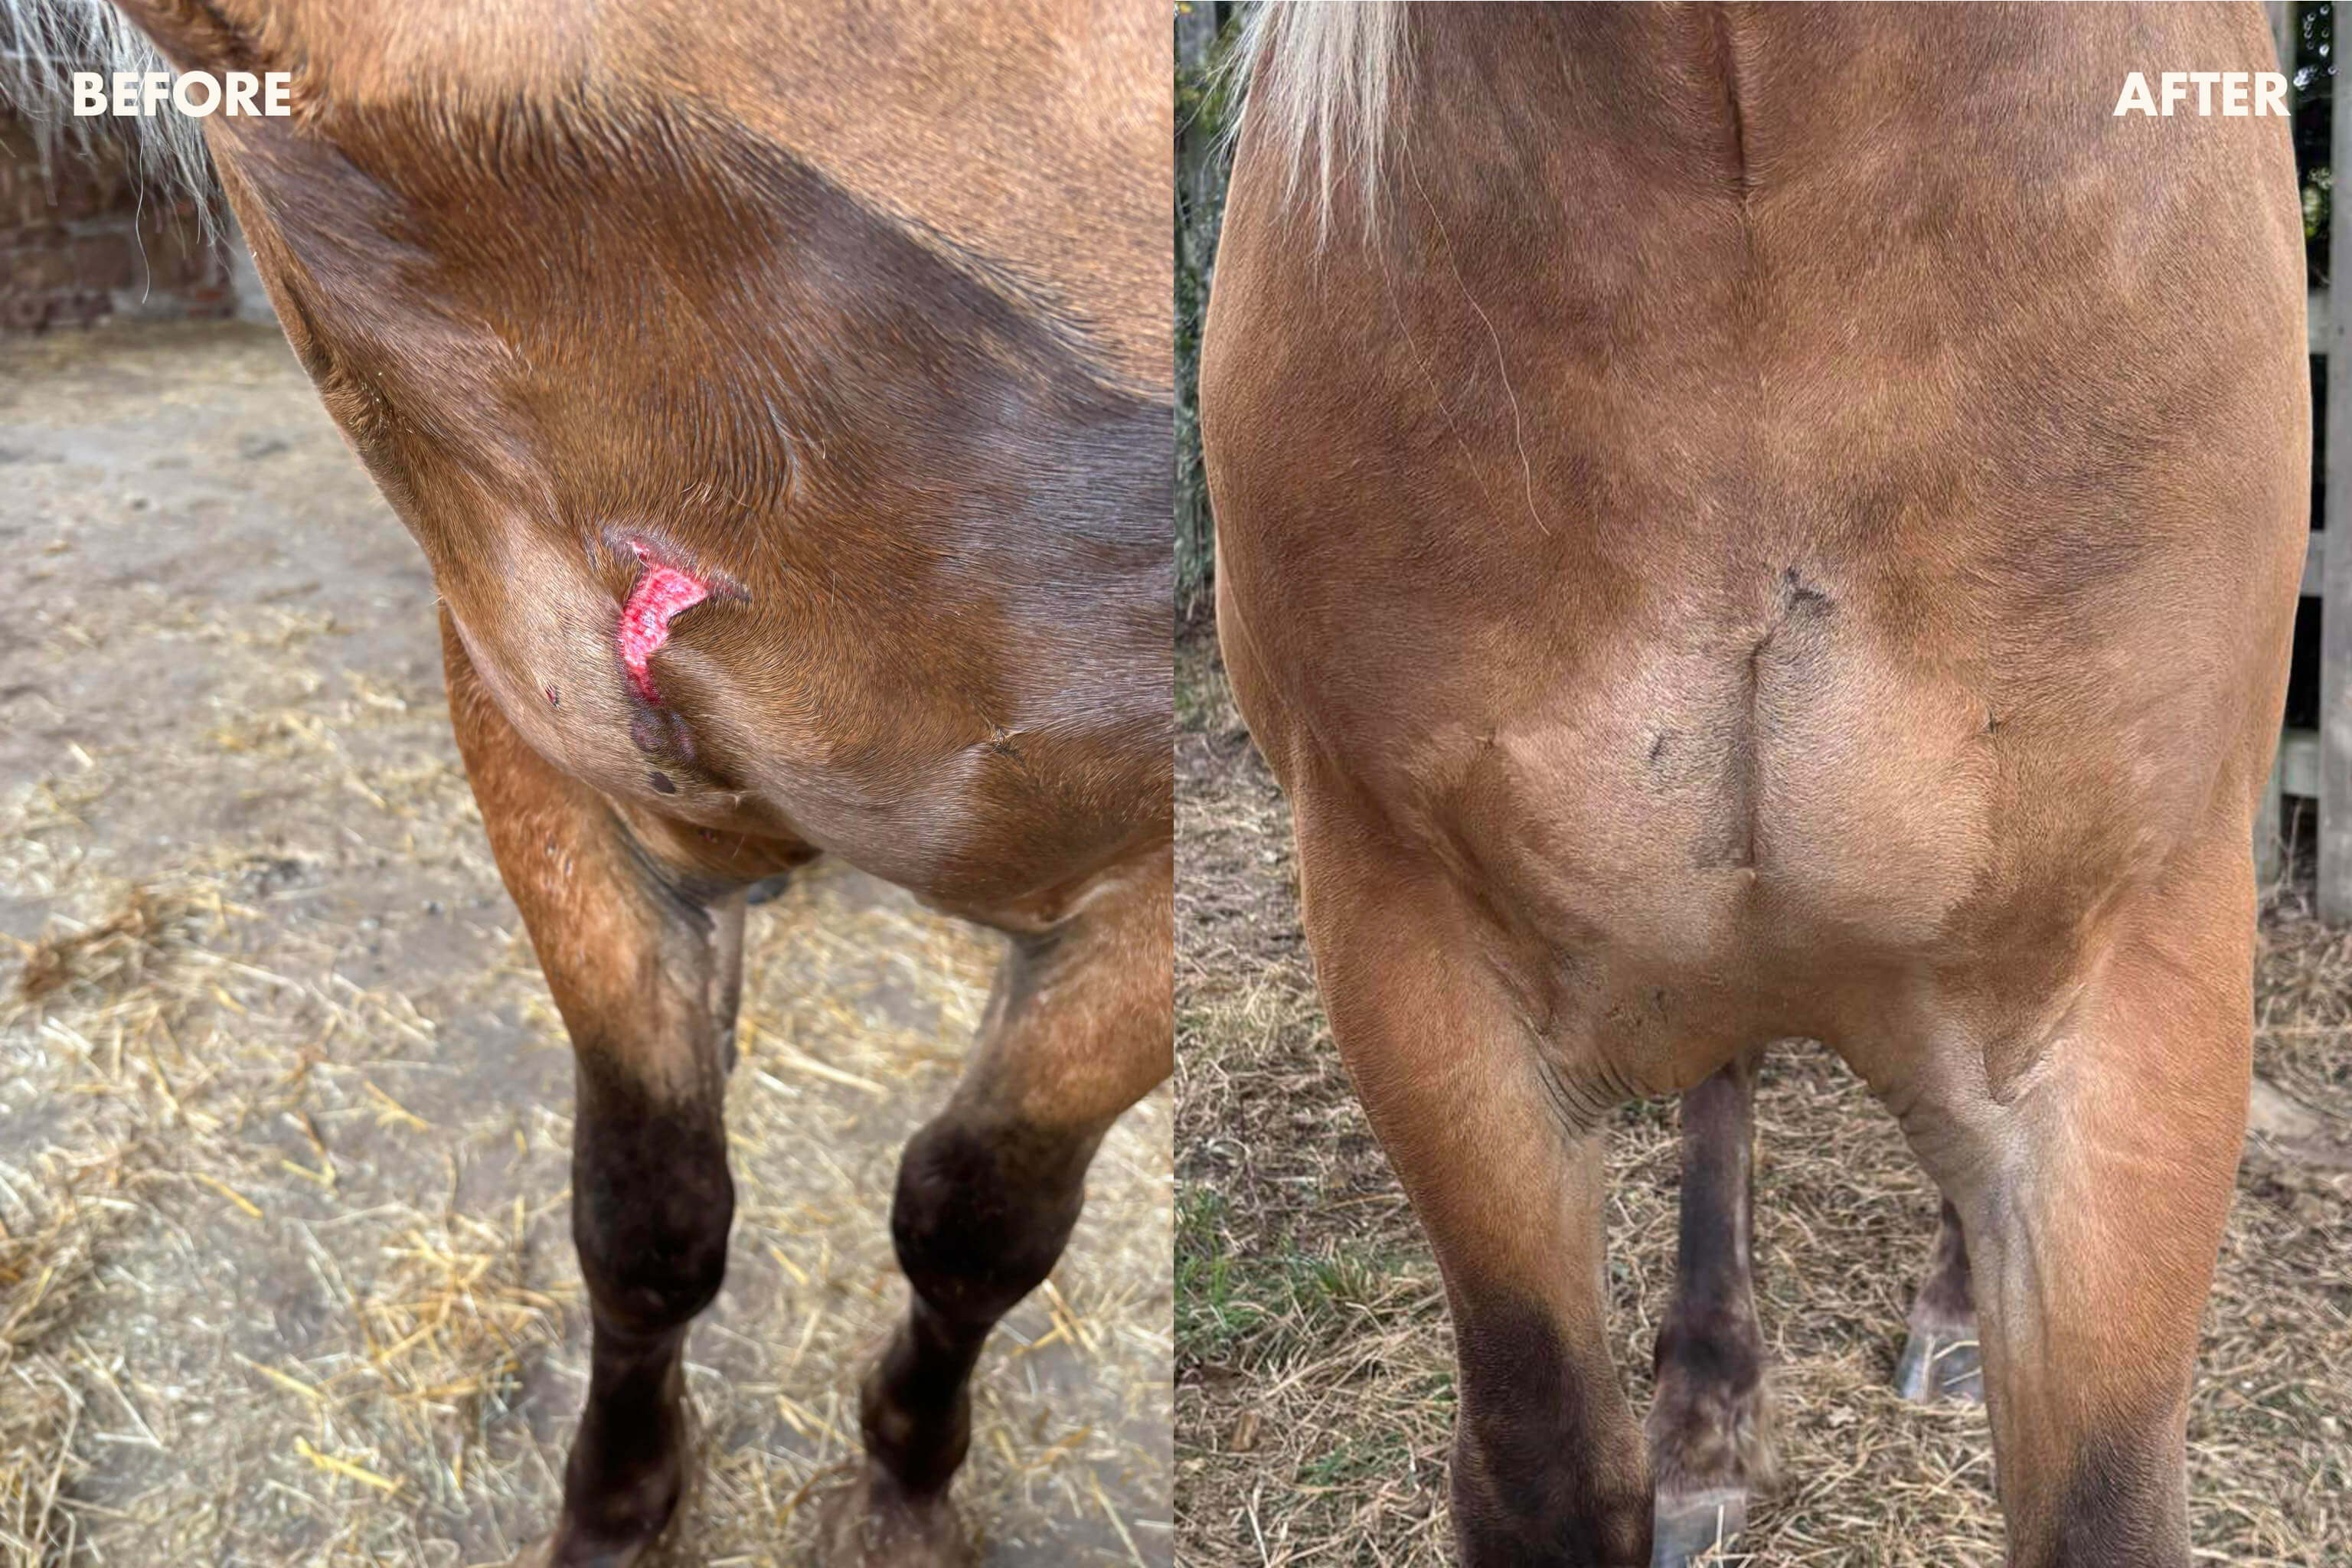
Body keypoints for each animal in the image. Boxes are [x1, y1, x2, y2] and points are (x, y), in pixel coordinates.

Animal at [3, 2, 1171, 1562]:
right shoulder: (568, 791)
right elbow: (648, 1218)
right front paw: (620, 1503)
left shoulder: (1141, 907)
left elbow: (975, 1226)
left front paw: (905, 1486)